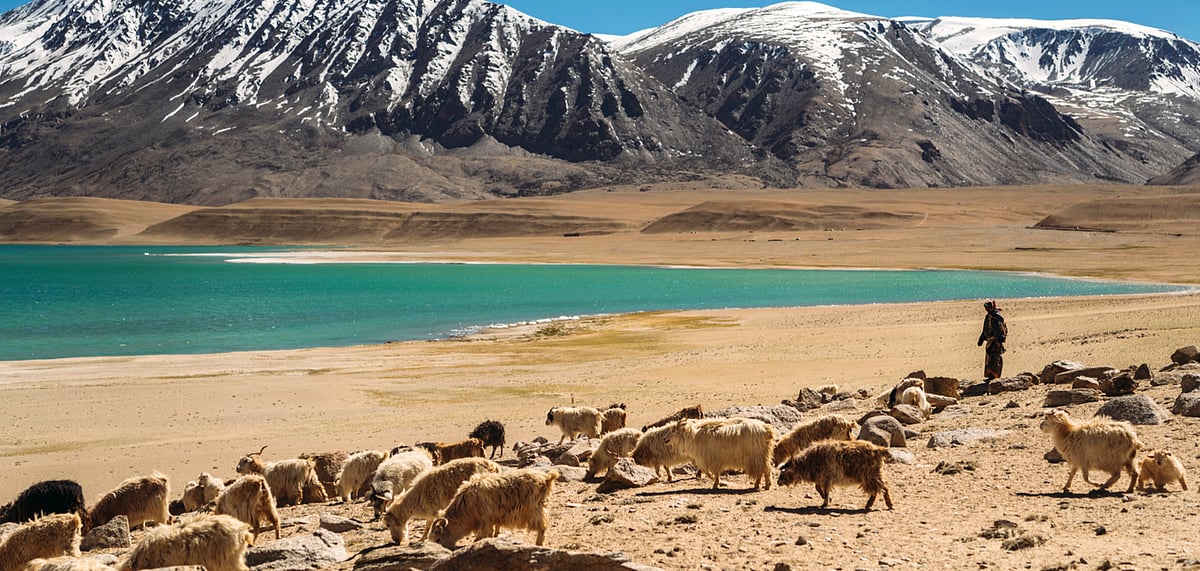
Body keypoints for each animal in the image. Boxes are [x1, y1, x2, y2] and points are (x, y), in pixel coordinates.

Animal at [430, 469, 559, 548]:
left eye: (438, 539)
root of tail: (547, 478)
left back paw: (538, 544)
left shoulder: (485, 521)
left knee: (542, 527)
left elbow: (483, 535)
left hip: (535, 510)